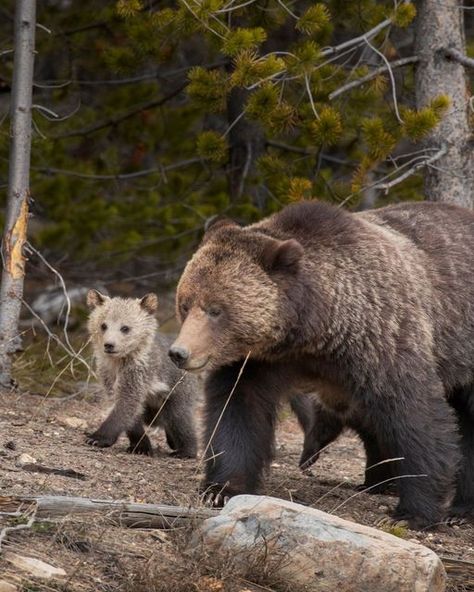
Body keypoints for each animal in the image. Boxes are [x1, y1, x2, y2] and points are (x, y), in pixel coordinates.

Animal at [87, 292, 198, 458]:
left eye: (125, 327)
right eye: (103, 325)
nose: (109, 345)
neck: (119, 362)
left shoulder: (138, 374)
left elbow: (125, 405)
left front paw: (97, 438)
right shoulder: (108, 376)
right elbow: (132, 415)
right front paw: (140, 446)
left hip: (176, 389)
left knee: (179, 417)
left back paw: (185, 451)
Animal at [168, 200, 474, 528]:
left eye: (216, 309)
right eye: (185, 304)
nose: (179, 352)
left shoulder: (381, 336)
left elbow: (414, 414)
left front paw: (414, 512)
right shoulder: (258, 362)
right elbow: (237, 411)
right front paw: (221, 489)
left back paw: (460, 510)